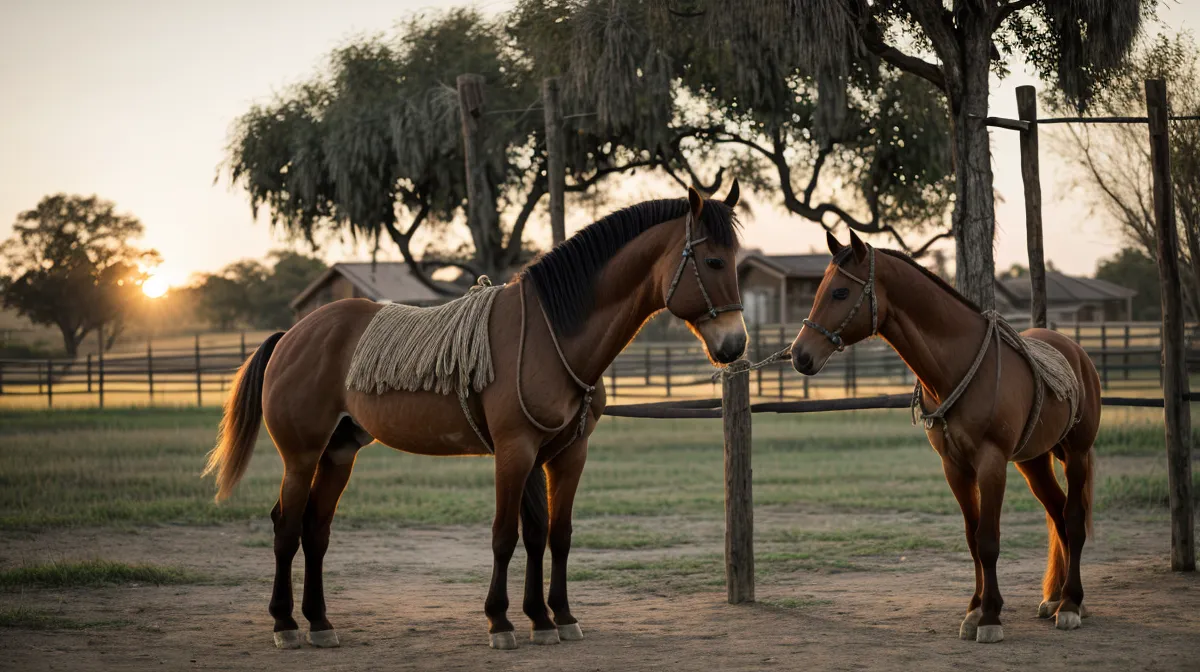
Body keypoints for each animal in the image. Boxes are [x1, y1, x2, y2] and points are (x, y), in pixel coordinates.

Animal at [203, 184, 748, 651]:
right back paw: (285, 624)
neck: (552, 335)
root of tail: (292, 335)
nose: (735, 344)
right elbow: (506, 535)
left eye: (738, 262)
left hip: (339, 453)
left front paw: (553, 618)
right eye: (713, 260)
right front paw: (501, 621)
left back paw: (319, 623)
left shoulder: (565, 454)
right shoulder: (514, 451)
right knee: (286, 526)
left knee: (316, 529)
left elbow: (553, 535)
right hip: (301, 455)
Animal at [788, 230, 1102, 644]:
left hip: (1077, 455)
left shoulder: (991, 464)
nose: (800, 355)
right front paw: (974, 610)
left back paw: (1070, 605)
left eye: (840, 292)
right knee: (1059, 514)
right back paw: (1057, 599)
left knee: (1074, 519)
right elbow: (972, 539)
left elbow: (988, 540)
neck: (957, 367)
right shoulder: (954, 468)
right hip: (1034, 462)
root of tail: (1076, 352)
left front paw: (990, 618)